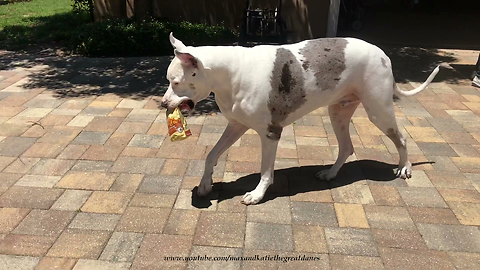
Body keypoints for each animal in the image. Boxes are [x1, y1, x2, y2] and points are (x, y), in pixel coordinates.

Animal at [161, 32, 442, 205]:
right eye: (169, 81)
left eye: (176, 82)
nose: (163, 104)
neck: (231, 72)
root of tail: (383, 53)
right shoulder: (236, 126)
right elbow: (211, 155)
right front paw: (205, 185)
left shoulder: (270, 133)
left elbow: (266, 171)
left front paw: (257, 194)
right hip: (338, 112)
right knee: (347, 147)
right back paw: (331, 174)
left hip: (378, 111)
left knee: (401, 139)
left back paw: (404, 168)